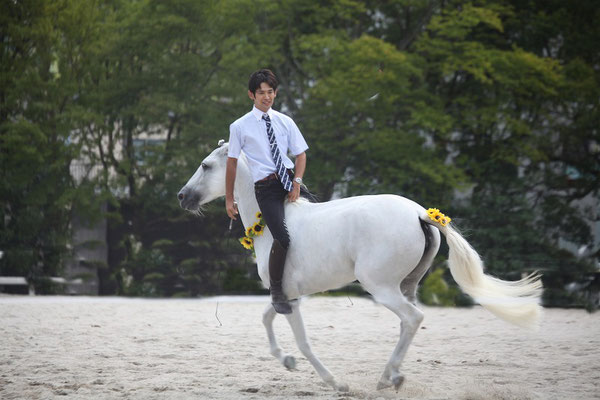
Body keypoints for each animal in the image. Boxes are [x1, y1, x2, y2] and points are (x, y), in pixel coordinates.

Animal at [178, 141, 544, 390]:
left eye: (206, 166)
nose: (182, 196)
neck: (268, 223)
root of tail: (421, 214)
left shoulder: (288, 296)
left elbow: (302, 340)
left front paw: (334, 382)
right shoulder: (288, 296)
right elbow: (267, 319)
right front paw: (288, 361)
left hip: (379, 287)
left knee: (413, 318)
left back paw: (386, 378)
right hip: (405, 286)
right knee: (408, 323)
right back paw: (392, 375)